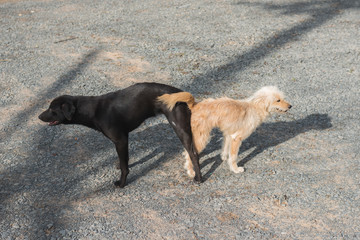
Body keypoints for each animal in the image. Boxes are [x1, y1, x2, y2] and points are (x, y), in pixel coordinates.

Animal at [40, 82, 202, 188]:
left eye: (52, 110)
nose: (39, 116)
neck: (93, 110)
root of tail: (181, 93)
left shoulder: (120, 140)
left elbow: (125, 168)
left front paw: (122, 183)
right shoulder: (124, 140)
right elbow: (124, 160)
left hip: (180, 129)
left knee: (194, 154)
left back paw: (199, 178)